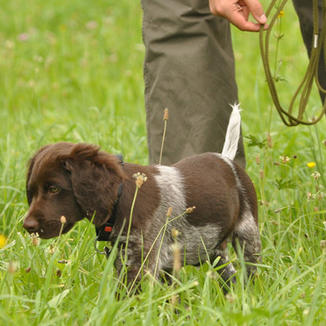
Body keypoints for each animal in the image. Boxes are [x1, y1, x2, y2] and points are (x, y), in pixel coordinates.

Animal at [24, 105, 262, 284]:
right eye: (32, 191)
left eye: (54, 189)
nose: (27, 226)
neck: (121, 199)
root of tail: (227, 160)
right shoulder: (127, 259)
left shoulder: (142, 263)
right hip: (213, 248)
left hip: (248, 235)